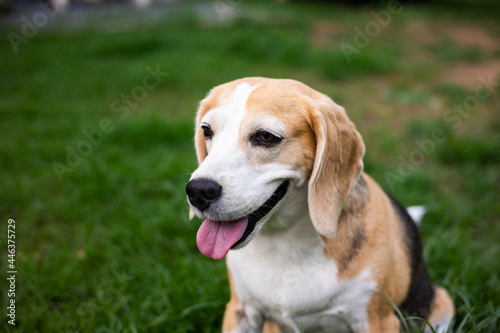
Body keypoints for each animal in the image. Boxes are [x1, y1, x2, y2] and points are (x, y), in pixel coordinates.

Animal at [186, 76, 456, 330]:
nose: (198, 191)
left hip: (443, 305)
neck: (284, 243)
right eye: (207, 131)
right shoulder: (240, 310)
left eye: (265, 136)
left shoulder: (378, 320)